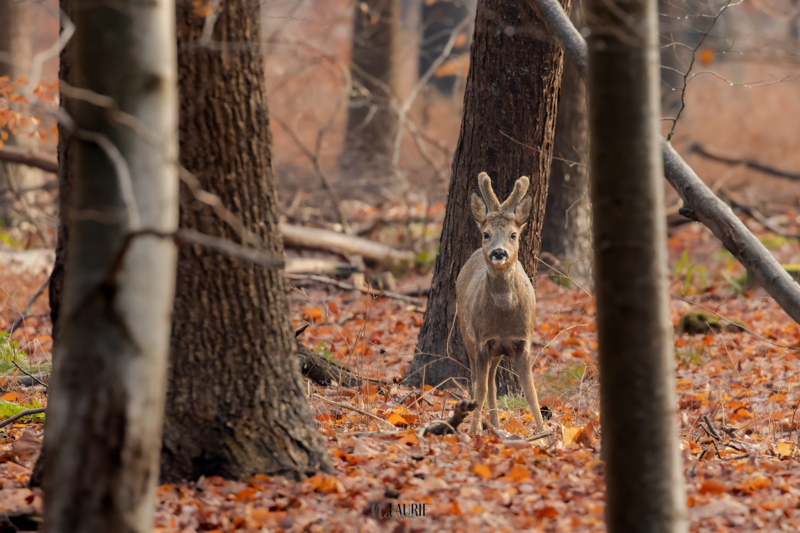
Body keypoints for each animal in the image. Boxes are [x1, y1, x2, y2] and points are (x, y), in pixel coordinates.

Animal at [454, 172, 548, 434]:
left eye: (513, 234)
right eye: (486, 233)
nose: (498, 253)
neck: (505, 315)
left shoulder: (523, 341)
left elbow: (531, 392)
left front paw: (546, 436)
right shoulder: (482, 341)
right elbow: (479, 389)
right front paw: (472, 433)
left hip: (497, 350)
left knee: (492, 382)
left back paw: (496, 428)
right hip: (467, 333)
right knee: (479, 381)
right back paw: (486, 427)